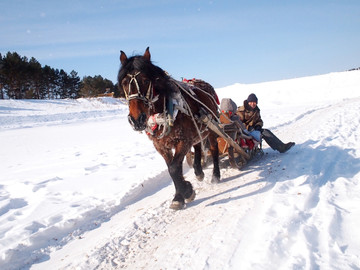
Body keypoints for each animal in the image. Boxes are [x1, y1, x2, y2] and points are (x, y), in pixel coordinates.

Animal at [118, 47, 219, 210]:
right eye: (124, 83)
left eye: (146, 80)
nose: (136, 120)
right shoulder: (161, 146)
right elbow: (172, 169)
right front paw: (181, 194)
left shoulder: (183, 141)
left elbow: (174, 169)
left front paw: (186, 192)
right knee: (197, 146)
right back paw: (198, 171)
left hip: (211, 128)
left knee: (214, 149)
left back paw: (216, 175)